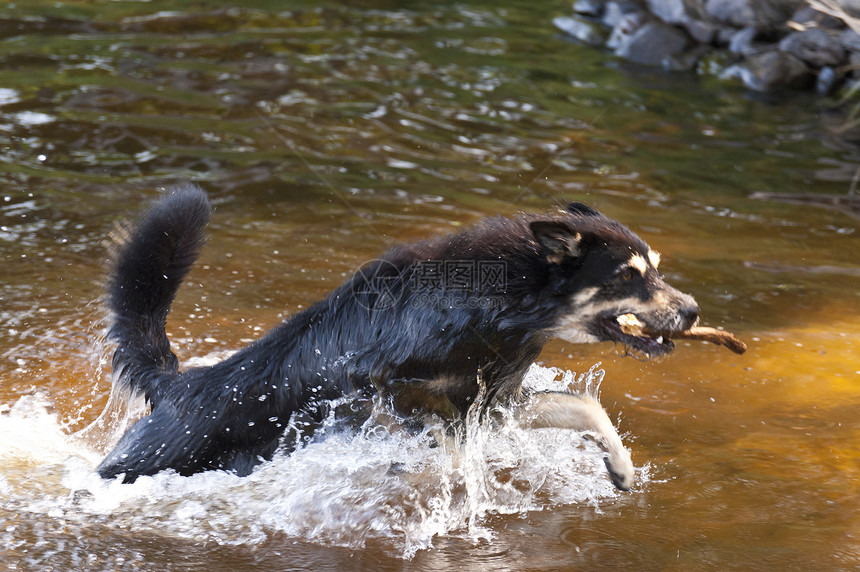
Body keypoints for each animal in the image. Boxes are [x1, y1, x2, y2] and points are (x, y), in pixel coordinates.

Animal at [95, 185, 700, 490]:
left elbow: (584, 408)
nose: (692, 311)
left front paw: (620, 466)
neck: (504, 300)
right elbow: (452, 448)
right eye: (628, 276)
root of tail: (175, 385)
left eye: (657, 268)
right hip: (146, 461)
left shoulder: (491, 401)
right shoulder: (388, 383)